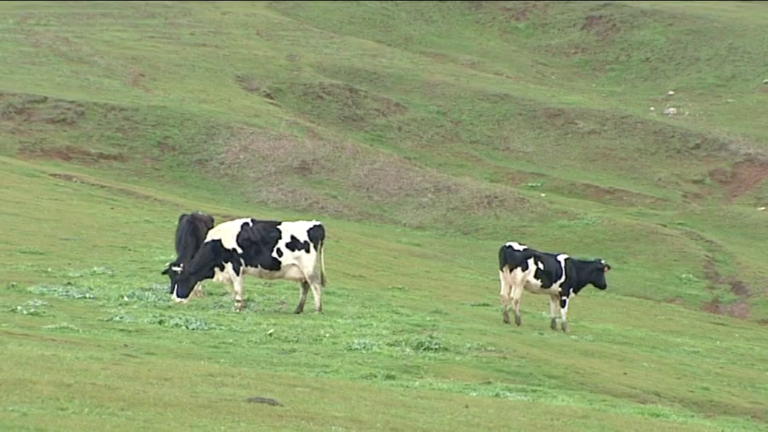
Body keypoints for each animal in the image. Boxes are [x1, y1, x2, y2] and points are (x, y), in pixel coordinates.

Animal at [171, 218, 328, 312]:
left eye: (179, 280)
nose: (174, 300)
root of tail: (316, 224)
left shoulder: (235, 266)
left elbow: (237, 288)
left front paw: (237, 308)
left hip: (309, 268)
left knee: (315, 286)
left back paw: (317, 309)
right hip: (301, 270)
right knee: (305, 286)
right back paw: (298, 309)